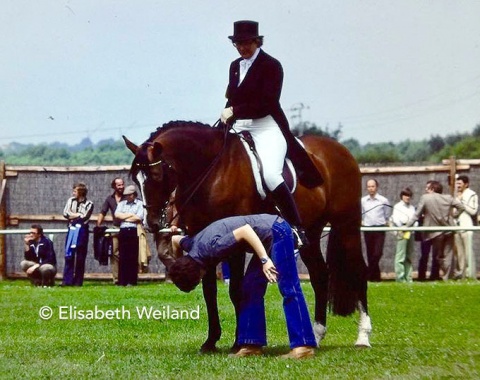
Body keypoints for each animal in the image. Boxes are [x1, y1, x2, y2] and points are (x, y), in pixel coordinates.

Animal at [124, 121, 372, 354]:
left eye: (157, 176)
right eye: (136, 179)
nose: (152, 223)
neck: (212, 170)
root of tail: (341, 150)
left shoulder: (235, 244)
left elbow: (235, 290)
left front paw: (237, 343)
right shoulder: (201, 238)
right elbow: (209, 291)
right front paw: (210, 342)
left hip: (347, 226)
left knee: (358, 271)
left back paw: (363, 336)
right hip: (310, 234)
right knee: (320, 275)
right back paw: (317, 336)